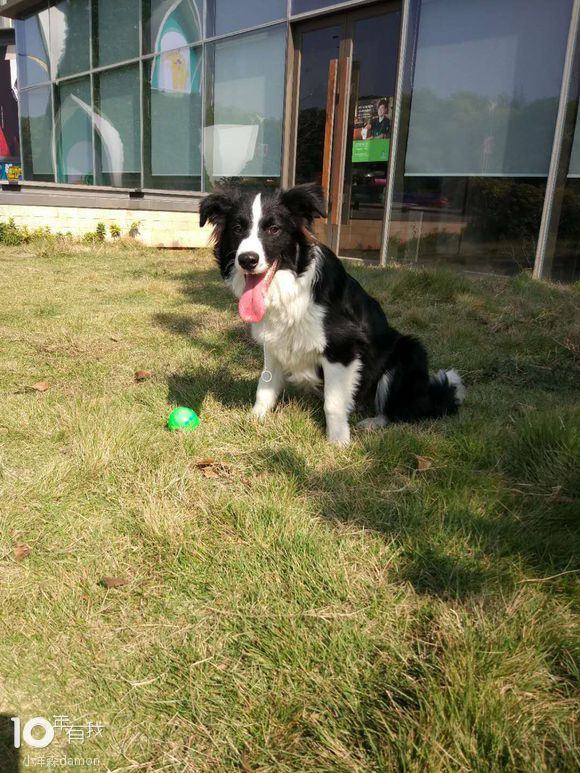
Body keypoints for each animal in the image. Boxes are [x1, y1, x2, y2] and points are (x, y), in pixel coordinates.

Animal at [199, 183, 464, 446]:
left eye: (274, 229)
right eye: (237, 228)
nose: (247, 260)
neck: (291, 286)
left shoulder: (342, 349)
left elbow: (333, 403)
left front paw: (338, 442)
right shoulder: (274, 341)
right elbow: (265, 386)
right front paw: (254, 420)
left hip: (408, 352)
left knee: (401, 409)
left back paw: (373, 422)